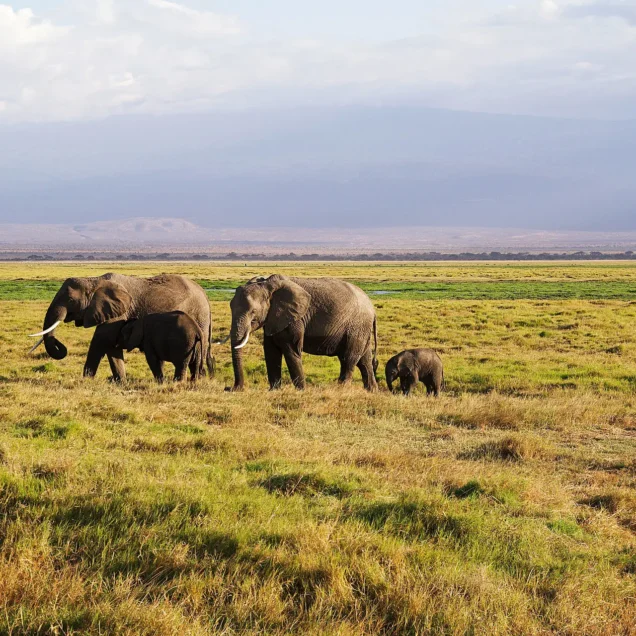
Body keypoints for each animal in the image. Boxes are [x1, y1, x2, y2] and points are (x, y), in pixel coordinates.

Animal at [29, 270, 215, 380]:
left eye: (70, 300)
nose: (60, 344)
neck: (93, 280)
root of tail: (205, 294)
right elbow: (111, 346)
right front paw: (121, 383)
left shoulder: (117, 312)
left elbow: (101, 341)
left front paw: (86, 381)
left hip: (199, 317)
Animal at [229, 274, 378, 390]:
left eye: (253, 312)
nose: (232, 388)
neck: (266, 284)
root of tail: (372, 308)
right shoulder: (273, 318)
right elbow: (271, 351)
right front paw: (274, 391)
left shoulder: (295, 319)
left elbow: (291, 350)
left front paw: (301, 391)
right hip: (361, 328)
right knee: (364, 360)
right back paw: (372, 391)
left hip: (357, 326)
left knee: (348, 359)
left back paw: (341, 390)